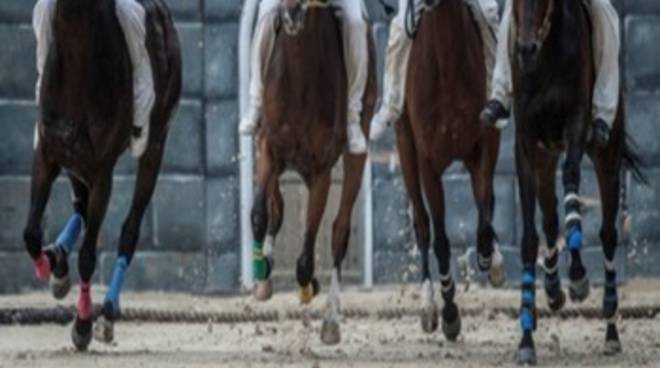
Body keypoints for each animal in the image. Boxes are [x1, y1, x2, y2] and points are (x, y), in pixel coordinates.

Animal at [24, 0, 182, 350]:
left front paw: (83, 323)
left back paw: (108, 311)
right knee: (80, 209)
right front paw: (49, 264)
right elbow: (31, 234)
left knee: (129, 230)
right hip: (74, 160)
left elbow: (88, 255)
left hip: (156, 142)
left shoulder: (101, 171)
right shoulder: (49, 153)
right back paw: (58, 262)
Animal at [249, 0, 376, 344]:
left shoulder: (321, 168)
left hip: (355, 150)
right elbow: (260, 213)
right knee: (277, 207)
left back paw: (330, 320)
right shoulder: (268, 146)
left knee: (339, 232)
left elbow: (307, 255)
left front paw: (310, 285)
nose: (292, 13)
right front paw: (261, 272)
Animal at [398, 0, 506, 340]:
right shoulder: (426, 161)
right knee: (421, 224)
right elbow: (440, 239)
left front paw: (488, 256)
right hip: (405, 150)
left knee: (489, 199)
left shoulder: (484, 143)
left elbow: (484, 208)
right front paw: (448, 313)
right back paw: (428, 305)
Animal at [510, 0, 644, 364]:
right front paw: (526, 340)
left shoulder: (576, 121)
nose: (525, 49)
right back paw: (553, 289)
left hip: (607, 151)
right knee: (549, 218)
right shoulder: (526, 142)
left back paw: (610, 327)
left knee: (608, 234)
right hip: (544, 158)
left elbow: (571, 179)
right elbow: (529, 237)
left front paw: (579, 276)